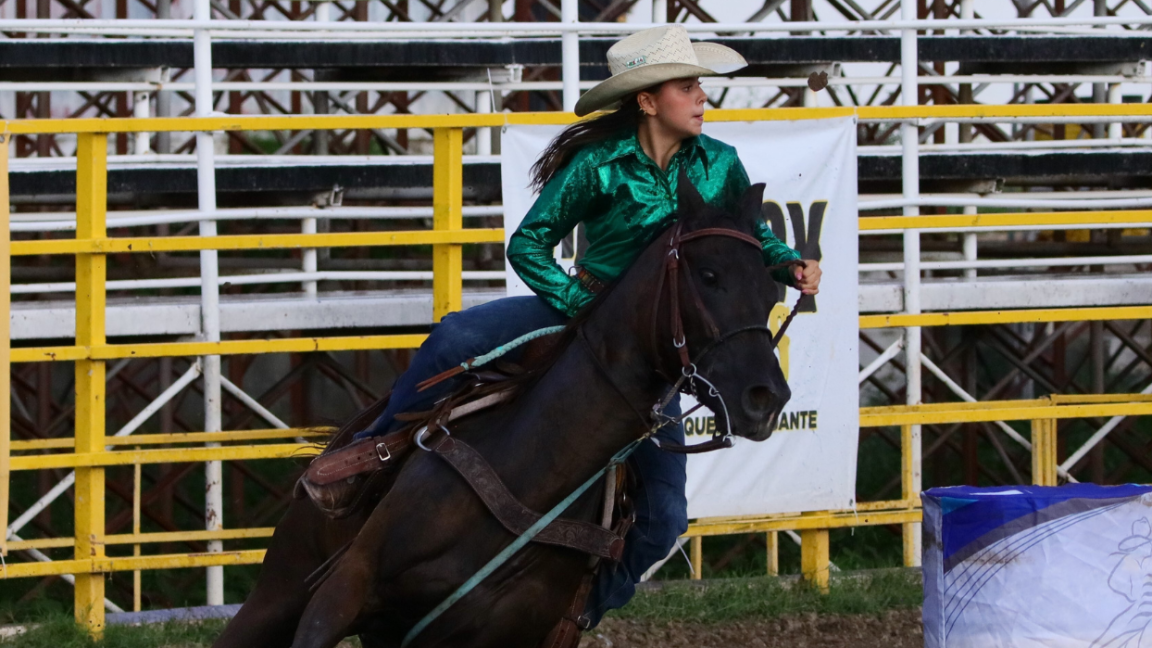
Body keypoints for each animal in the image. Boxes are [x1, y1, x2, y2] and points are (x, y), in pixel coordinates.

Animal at [211, 171, 792, 645]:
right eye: (709, 275)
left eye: (771, 289)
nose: (768, 398)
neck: (535, 471)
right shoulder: (343, 589)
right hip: (279, 591)